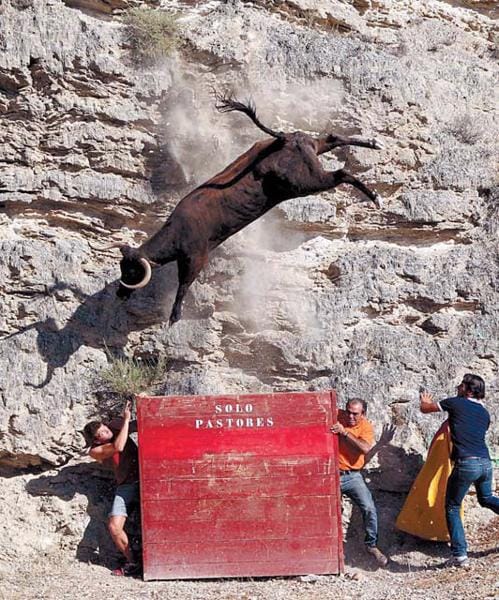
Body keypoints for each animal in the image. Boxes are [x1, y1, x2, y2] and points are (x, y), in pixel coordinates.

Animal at [116, 96, 382, 326]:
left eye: (131, 270)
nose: (119, 293)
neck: (176, 230)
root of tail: (283, 139)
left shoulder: (196, 257)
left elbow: (184, 285)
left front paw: (174, 316)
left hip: (308, 182)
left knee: (341, 173)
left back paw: (376, 197)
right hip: (313, 152)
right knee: (333, 139)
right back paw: (373, 144)